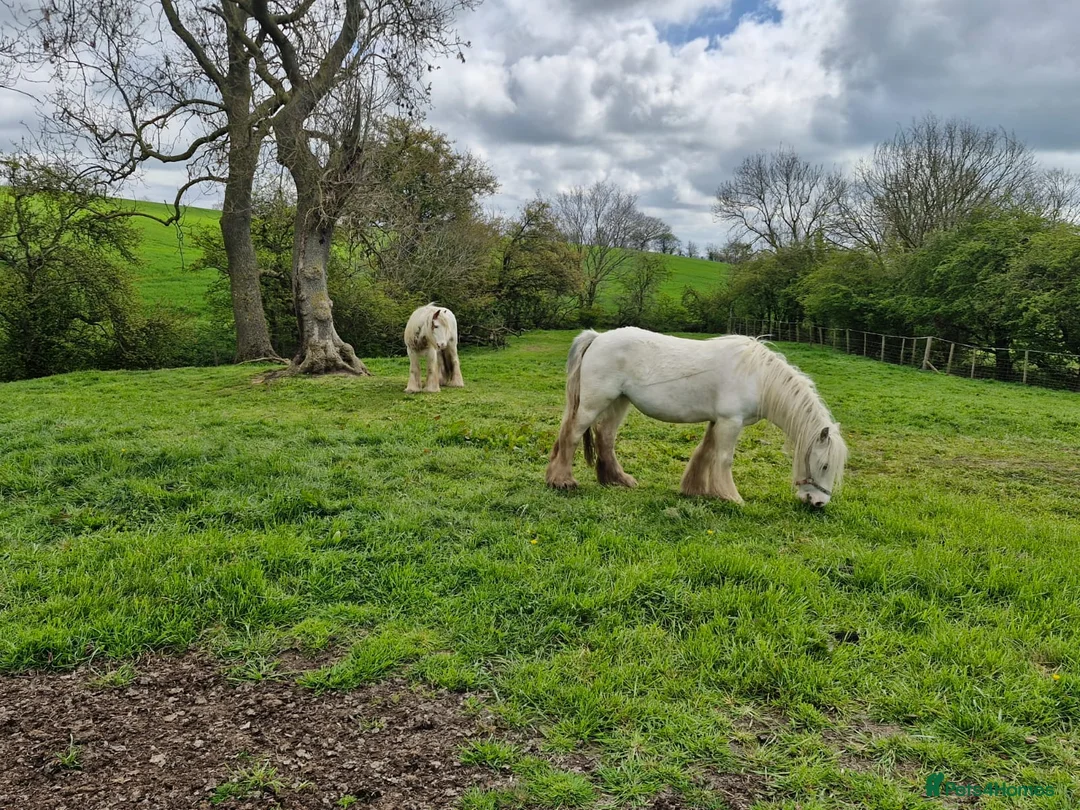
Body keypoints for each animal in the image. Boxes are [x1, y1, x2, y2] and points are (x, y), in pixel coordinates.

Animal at [545, 327, 848, 507]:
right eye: (824, 465)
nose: (818, 502)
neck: (758, 378)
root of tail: (597, 337)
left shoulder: (719, 421)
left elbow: (705, 453)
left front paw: (696, 490)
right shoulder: (730, 422)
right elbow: (723, 459)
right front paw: (732, 497)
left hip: (619, 402)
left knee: (605, 437)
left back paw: (617, 480)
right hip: (595, 402)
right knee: (571, 435)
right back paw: (562, 481)